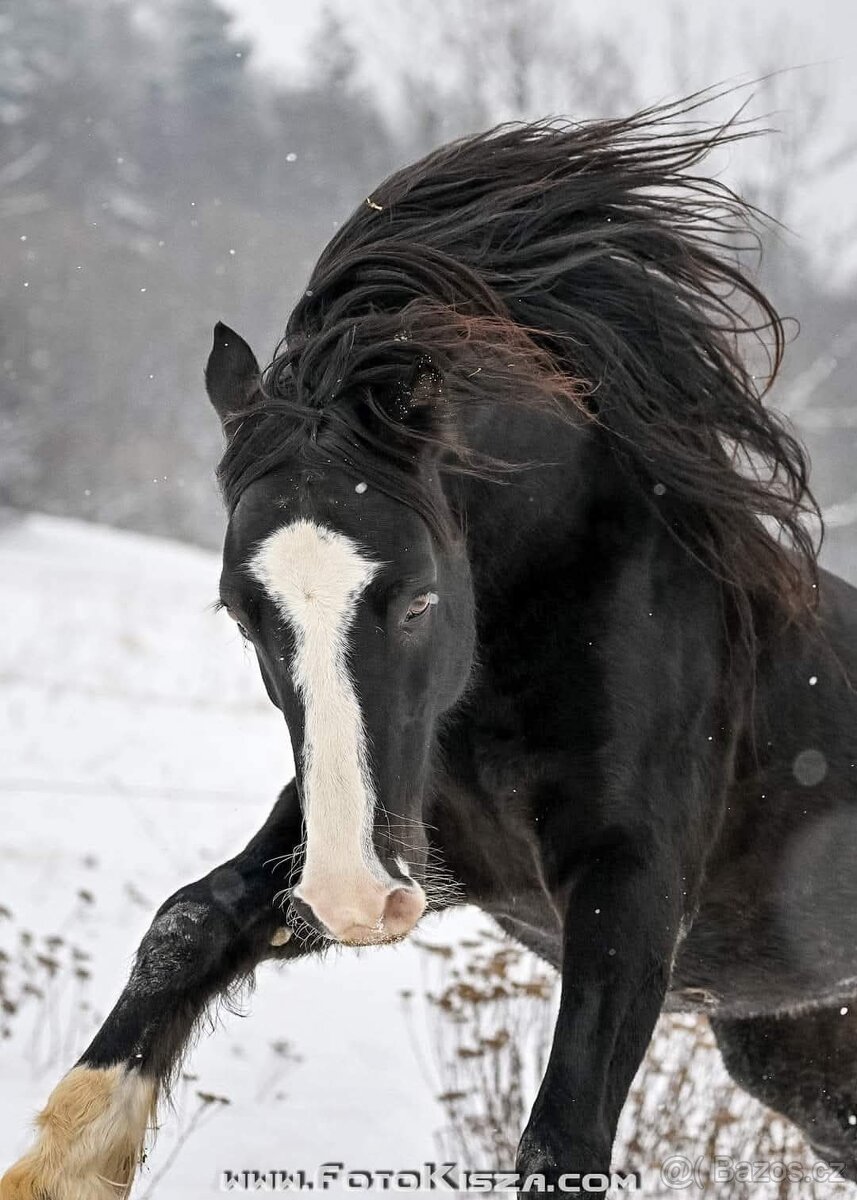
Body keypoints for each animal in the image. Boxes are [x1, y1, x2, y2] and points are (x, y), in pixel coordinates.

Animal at [1, 98, 854, 1195]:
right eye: (241, 612)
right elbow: (186, 926)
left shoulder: (628, 887)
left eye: (416, 602)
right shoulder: (417, 840)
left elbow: (562, 1134)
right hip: (796, 1054)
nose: (353, 900)